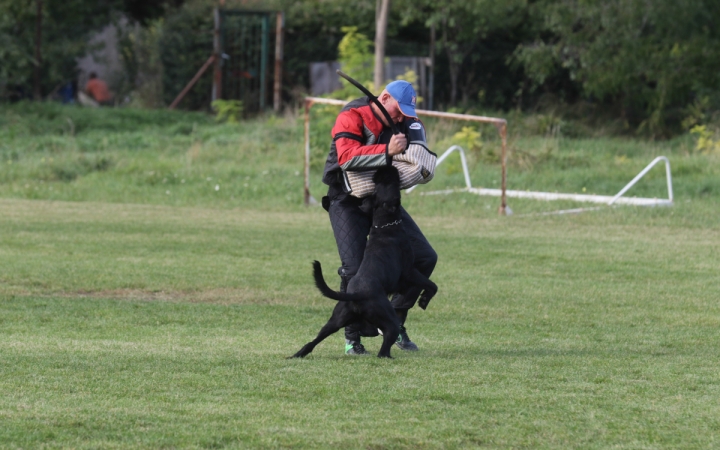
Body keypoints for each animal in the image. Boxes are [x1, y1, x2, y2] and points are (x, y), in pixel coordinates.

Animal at [290, 165, 436, 358]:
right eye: (392, 184)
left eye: (379, 185)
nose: (387, 167)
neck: (385, 225)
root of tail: (356, 295)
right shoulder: (409, 272)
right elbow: (431, 284)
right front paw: (424, 300)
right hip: (388, 321)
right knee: (383, 350)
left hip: (334, 322)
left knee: (312, 342)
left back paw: (296, 355)